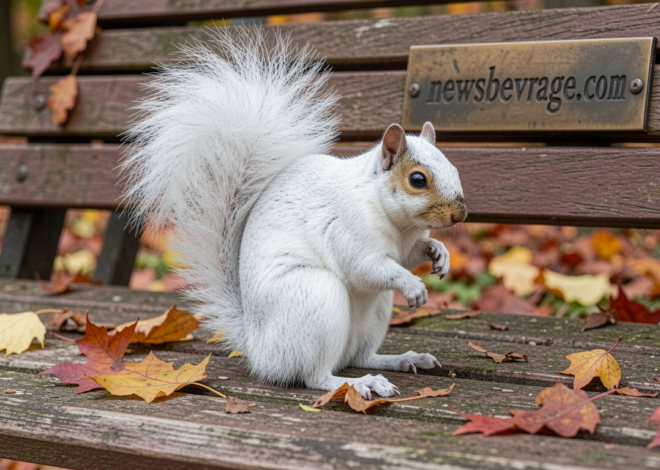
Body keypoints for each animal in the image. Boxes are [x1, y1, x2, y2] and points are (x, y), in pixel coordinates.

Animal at [121, 28, 467, 399]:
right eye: (417, 179)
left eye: (454, 168)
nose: (459, 215)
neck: (398, 223)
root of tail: (259, 349)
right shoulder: (347, 231)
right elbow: (366, 267)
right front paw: (413, 285)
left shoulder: (404, 245)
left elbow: (410, 255)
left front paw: (438, 253)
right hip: (315, 297)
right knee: (316, 376)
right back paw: (360, 382)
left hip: (375, 313)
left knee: (362, 355)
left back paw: (400, 360)